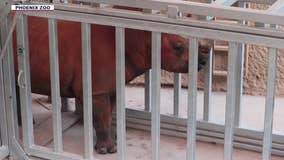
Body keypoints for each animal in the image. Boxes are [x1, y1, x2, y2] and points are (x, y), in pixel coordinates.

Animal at [13, 13, 211, 154]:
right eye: (178, 47)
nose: (203, 60)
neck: (136, 39)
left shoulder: (109, 84)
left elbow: (108, 112)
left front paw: (113, 138)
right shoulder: (97, 88)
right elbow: (102, 115)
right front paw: (107, 150)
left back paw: (25, 122)